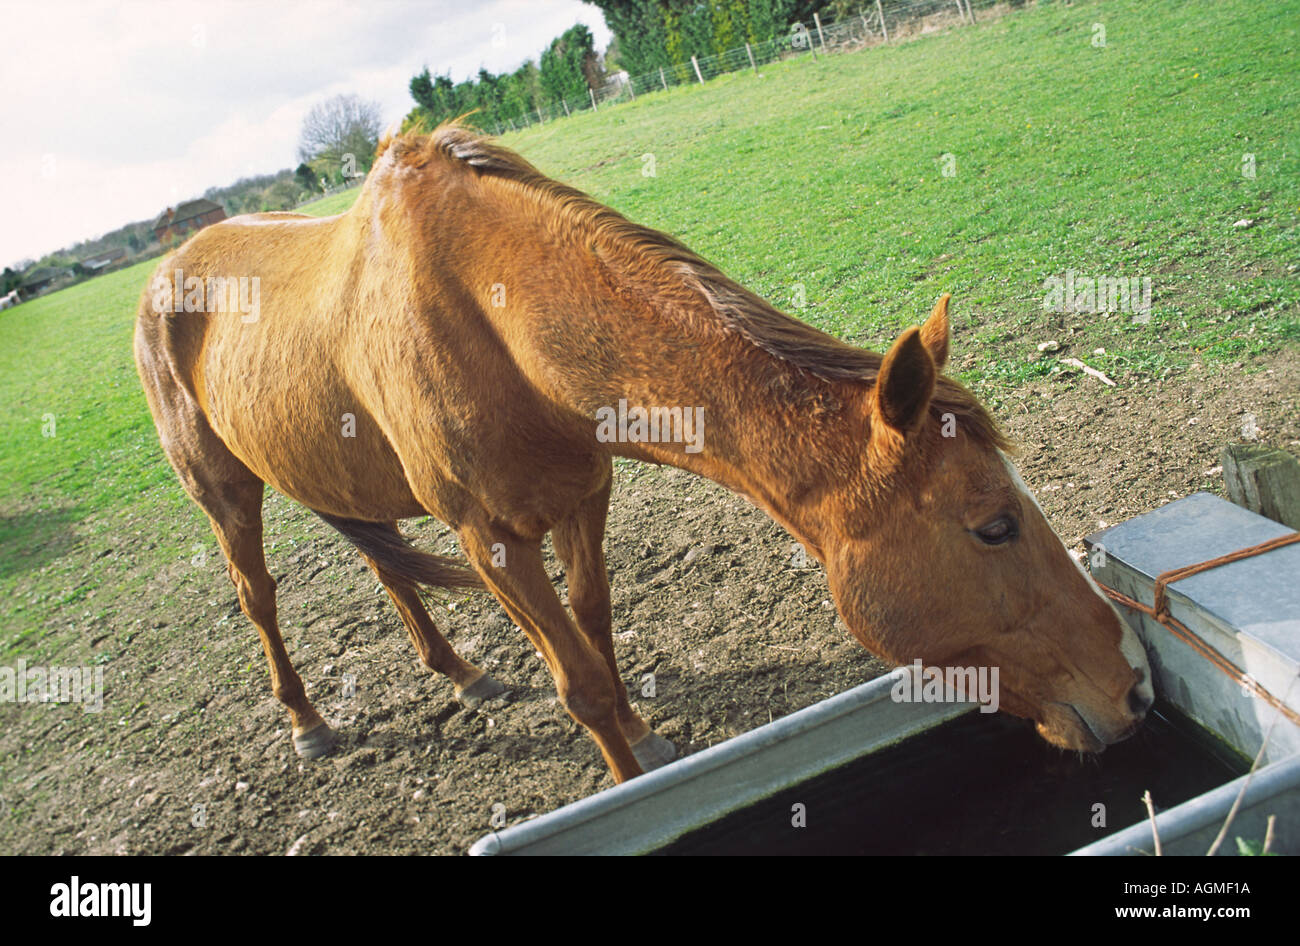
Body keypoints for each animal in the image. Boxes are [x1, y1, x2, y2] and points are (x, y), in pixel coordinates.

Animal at [134, 122, 1153, 783]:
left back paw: (461, 673)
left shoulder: (583, 496)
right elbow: (578, 681)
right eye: (994, 525)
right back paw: (308, 724)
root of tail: (168, 271)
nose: (1135, 686)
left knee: (386, 568)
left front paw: (647, 736)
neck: (490, 319)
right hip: (224, 494)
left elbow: (596, 628)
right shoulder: (489, 539)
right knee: (258, 597)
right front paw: (631, 777)